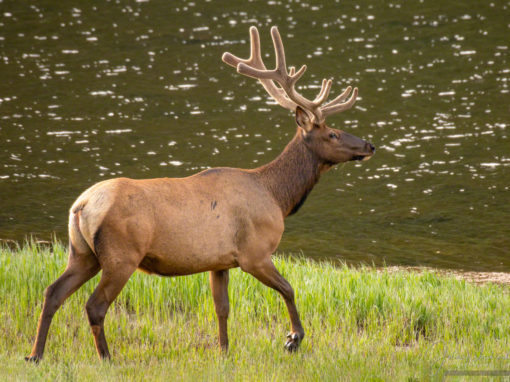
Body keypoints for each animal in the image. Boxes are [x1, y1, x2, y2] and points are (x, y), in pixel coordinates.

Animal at [24, 26, 374, 362]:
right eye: (333, 133)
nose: (369, 145)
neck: (278, 196)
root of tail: (81, 206)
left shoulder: (219, 261)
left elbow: (222, 308)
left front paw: (224, 351)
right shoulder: (255, 252)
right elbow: (288, 288)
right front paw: (293, 339)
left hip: (81, 252)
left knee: (52, 292)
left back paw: (35, 354)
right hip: (121, 255)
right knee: (94, 305)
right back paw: (106, 357)